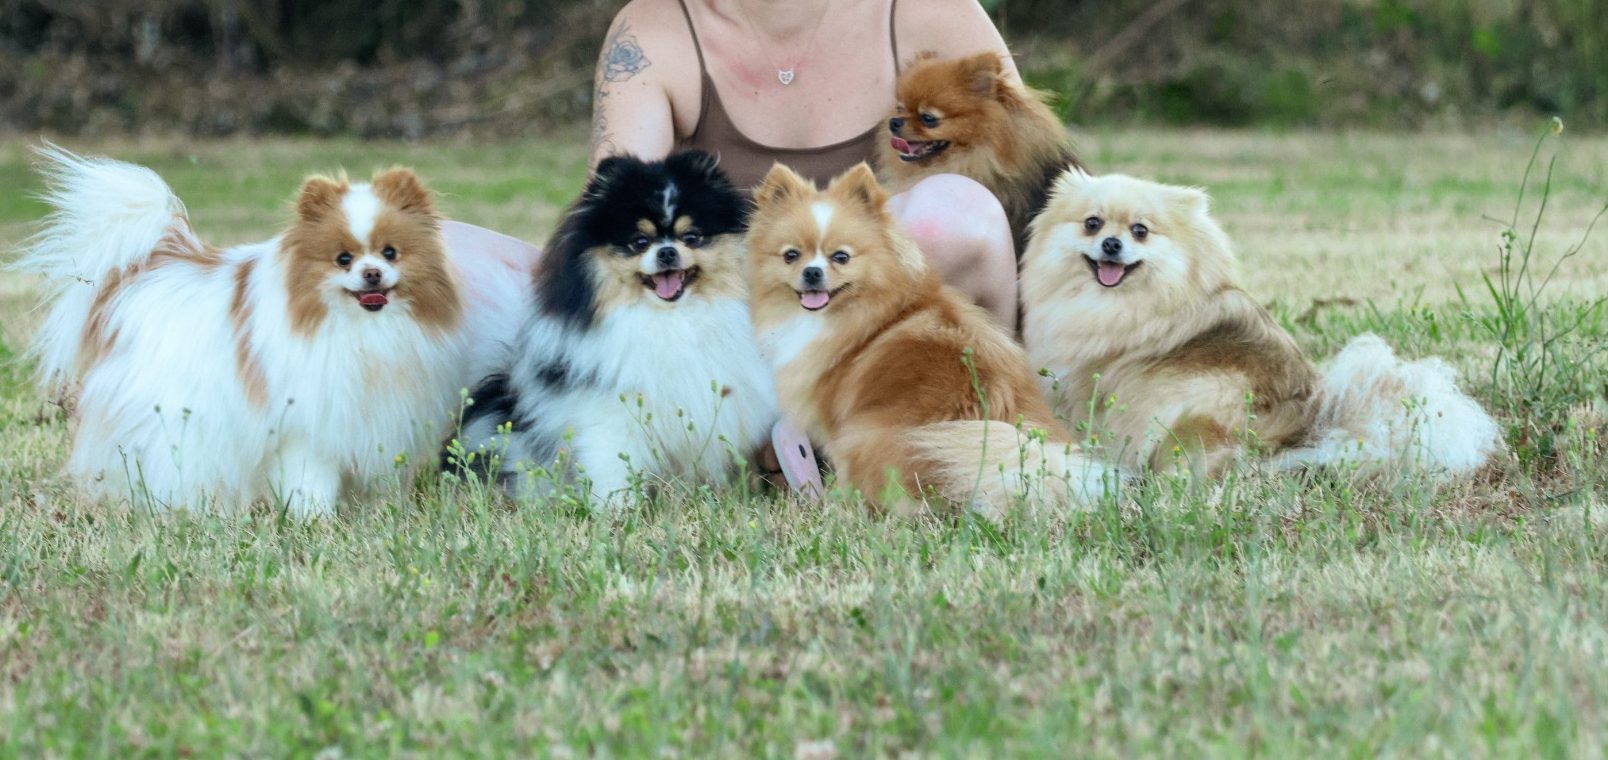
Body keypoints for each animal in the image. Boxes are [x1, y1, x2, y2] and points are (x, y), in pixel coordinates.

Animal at [15, 146, 512, 515]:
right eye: (343, 259)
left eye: (390, 253)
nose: (371, 273)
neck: (359, 331)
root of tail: (149, 269)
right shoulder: (303, 428)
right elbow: (311, 479)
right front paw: (315, 519)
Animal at [452, 151, 777, 508]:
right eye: (639, 242)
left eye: (691, 237)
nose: (667, 251)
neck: (671, 317)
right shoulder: (609, 416)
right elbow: (614, 466)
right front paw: (617, 511)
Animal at [746, 161, 1115, 518]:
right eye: (791, 255)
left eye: (841, 257)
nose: (812, 273)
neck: (870, 311)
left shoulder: (836, 424)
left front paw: (837, 502)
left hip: (862, 437)